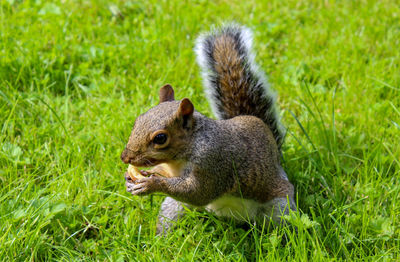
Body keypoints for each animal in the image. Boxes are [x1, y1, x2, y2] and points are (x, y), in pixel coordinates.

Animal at [121, 24, 296, 233]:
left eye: (160, 138)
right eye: (137, 121)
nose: (125, 157)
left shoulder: (213, 163)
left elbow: (198, 192)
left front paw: (151, 183)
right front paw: (136, 177)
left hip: (280, 206)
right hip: (174, 206)